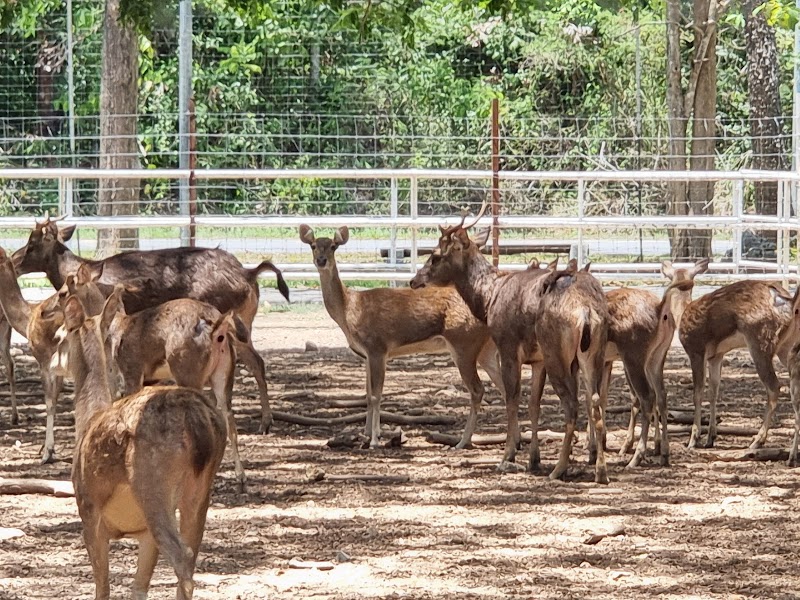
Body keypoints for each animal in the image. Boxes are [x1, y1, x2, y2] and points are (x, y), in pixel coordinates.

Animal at [60, 292, 225, 596]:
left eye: (61, 337)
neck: (88, 420)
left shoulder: (88, 509)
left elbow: (103, 588)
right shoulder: (144, 534)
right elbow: (138, 589)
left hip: (152, 481)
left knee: (182, 555)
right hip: (200, 488)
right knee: (192, 550)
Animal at [296, 223, 504, 448]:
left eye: (333, 246)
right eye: (313, 245)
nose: (321, 260)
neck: (350, 309)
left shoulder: (377, 347)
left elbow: (377, 396)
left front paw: (375, 440)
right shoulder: (365, 355)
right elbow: (367, 396)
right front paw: (365, 434)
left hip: (463, 343)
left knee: (478, 390)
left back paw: (462, 442)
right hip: (486, 350)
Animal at [412, 209, 612, 486]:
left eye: (435, 256)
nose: (414, 280)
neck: (488, 299)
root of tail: (585, 310)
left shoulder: (507, 347)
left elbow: (512, 398)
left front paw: (508, 455)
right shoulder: (537, 359)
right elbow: (533, 404)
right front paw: (533, 459)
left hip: (556, 352)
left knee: (572, 404)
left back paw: (559, 469)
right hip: (592, 352)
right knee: (595, 400)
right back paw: (600, 471)